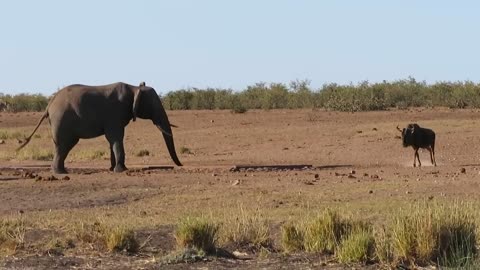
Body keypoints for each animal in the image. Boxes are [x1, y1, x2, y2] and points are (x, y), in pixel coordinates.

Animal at [16, 81, 182, 173]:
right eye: (153, 105)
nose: (180, 165)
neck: (134, 88)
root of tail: (49, 105)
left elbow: (112, 140)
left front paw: (114, 169)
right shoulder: (114, 113)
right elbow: (116, 138)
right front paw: (121, 171)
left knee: (64, 146)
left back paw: (60, 171)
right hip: (61, 121)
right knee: (64, 145)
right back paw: (60, 173)